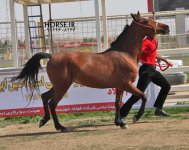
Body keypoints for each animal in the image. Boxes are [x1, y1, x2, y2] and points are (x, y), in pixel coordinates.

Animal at [12, 11, 168, 131]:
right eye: (146, 21)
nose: (166, 27)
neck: (124, 54)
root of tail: (52, 56)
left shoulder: (119, 87)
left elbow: (117, 103)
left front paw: (120, 122)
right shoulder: (126, 84)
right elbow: (143, 96)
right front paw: (135, 117)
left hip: (59, 86)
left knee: (45, 97)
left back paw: (44, 120)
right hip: (62, 86)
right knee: (52, 103)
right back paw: (60, 127)